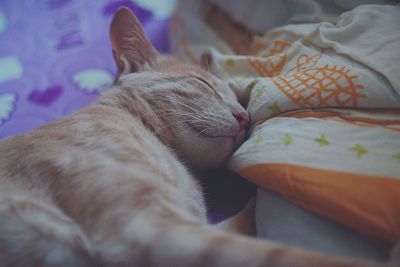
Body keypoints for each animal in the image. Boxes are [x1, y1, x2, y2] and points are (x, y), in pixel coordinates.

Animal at [0, 8, 400, 267]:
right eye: (204, 85)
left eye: (238, 98)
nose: (244, 117)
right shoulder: (144, 229)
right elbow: (285, 255)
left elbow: (242, 226)